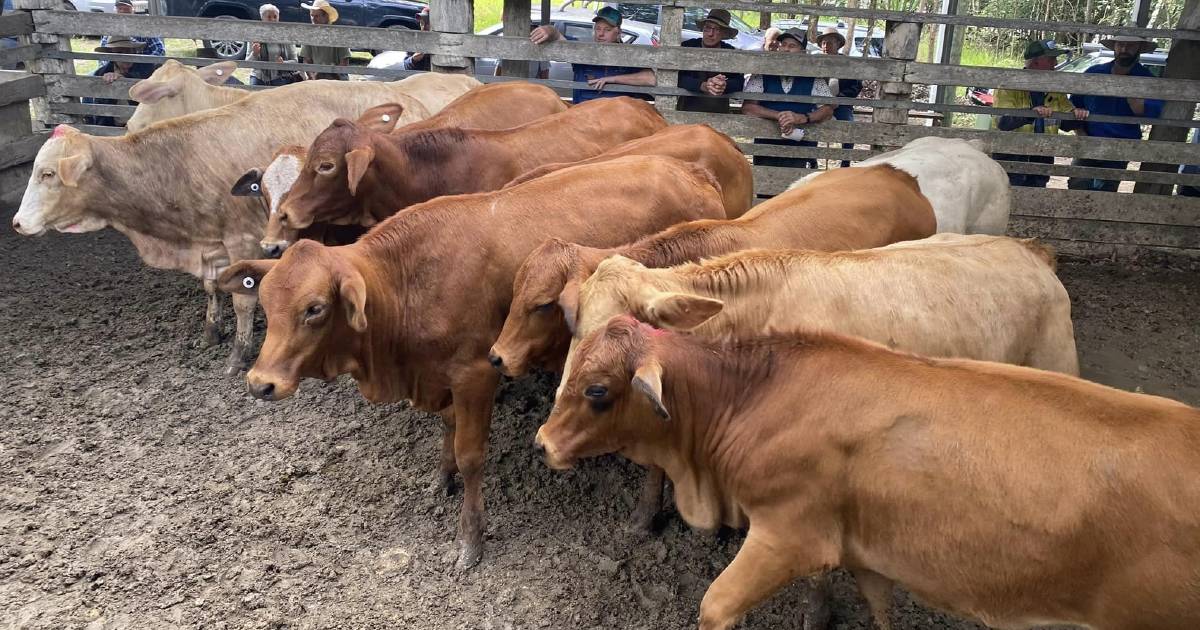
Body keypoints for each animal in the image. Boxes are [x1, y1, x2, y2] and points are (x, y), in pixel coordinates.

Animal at [12, 73, 477, 372]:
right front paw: (210, 333)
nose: (17, 223)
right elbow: (213, 288)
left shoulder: (240, 239)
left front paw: (237, 355)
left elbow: (242, 299)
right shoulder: (211, 243)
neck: (175, 164)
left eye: (48, 174)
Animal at [213, 154, 720, 566]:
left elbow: (471, 453)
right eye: (266, 302)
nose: (260, 382)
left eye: (315, 308)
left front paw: (469, 538)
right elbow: (447, 429)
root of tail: (692, 171)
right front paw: (442, 479)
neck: (407, 278)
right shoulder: (440, 376)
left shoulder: (477, 373)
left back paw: (646, 513)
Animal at [542, 314, 1200, 628]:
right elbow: (881, 608)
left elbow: (716, 606)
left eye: (597, 390)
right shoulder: (864, 550)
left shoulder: (788, 536)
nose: (542, 442)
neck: (754, 394)